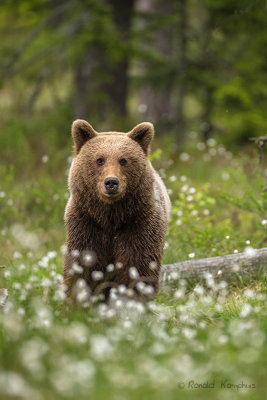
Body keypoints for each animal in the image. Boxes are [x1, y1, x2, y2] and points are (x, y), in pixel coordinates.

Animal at [63, 120, 171, 302]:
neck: (111, 215)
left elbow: (136, 265)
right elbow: (84, 265)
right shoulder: (86, 222)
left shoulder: (139, 224)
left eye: (123, 160)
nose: (111, 182)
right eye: (100, 160)